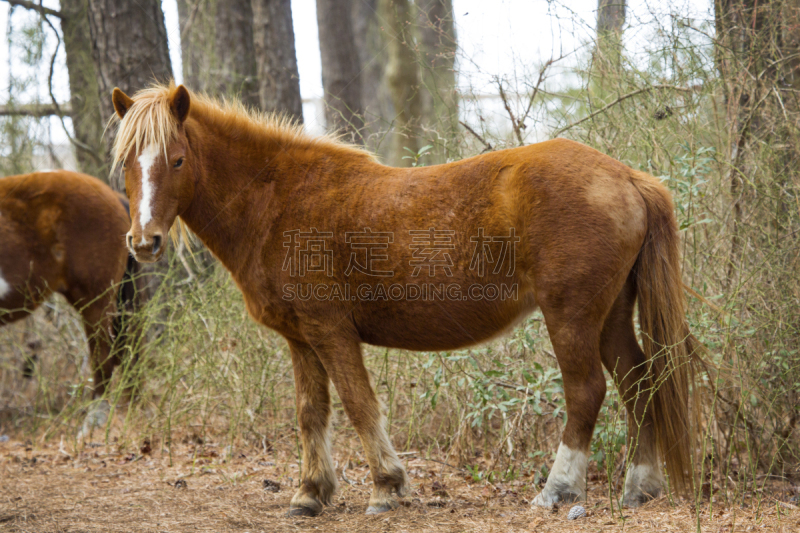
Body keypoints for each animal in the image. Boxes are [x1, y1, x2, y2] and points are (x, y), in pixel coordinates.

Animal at [109, 84, 696, 516]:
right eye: (127, 165)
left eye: (177, 160)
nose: (143, 241)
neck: (280, 199)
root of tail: (627, 176)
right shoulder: (300, 339)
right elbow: (310, 412)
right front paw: (310, 493)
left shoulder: (330, 331)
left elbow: (358, 404)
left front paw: (386, 487)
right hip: (610, 315)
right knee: (639, 383)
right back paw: (639, 488)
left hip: (570, 315)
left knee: (586, 391)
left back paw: (559, 491)